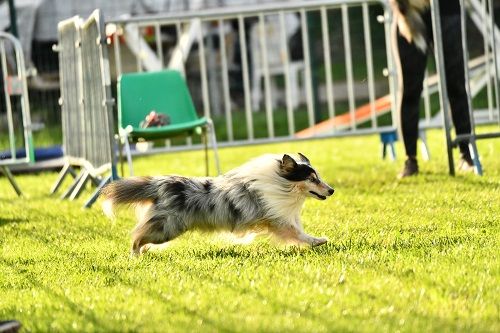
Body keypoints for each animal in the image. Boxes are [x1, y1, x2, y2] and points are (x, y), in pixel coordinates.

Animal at [101, 153, 334, 254]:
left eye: (319, 177)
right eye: (312, 179)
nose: (332, 190)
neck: (280, 183)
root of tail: (161, 183)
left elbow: (298, 232)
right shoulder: (278, 221)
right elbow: (299, 234)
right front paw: (319, 240)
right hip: (167, 228)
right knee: (136, 237)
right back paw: (135, 256)